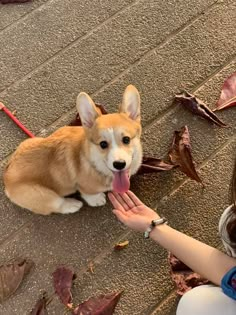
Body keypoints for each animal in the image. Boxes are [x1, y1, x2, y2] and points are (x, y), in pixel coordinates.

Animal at [3, 85, 143, 216]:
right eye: (103, 144)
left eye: (126, 139)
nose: (119, 164)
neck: (94, 163)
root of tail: (6, 174)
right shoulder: (84, 186)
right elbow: (89, 194)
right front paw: (97, 199)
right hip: (43, 195)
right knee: (56, 204)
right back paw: (72, 205)